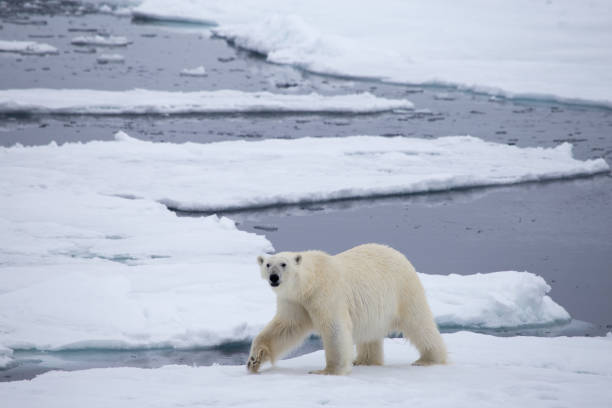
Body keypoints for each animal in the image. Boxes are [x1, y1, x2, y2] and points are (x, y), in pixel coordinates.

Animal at [246, 242, 448, 376]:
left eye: (284, 264)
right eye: (268, 264)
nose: (273, 277)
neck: (309, 283)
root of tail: (399, 254)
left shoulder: (326, 294)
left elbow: (334, 328)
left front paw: (328, 370)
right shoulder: (294, 301)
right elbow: (285, 327)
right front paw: (254, 360)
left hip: (403, 289)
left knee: (418, 323)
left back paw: (429, 359)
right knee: (370, 335)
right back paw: (364, 360)